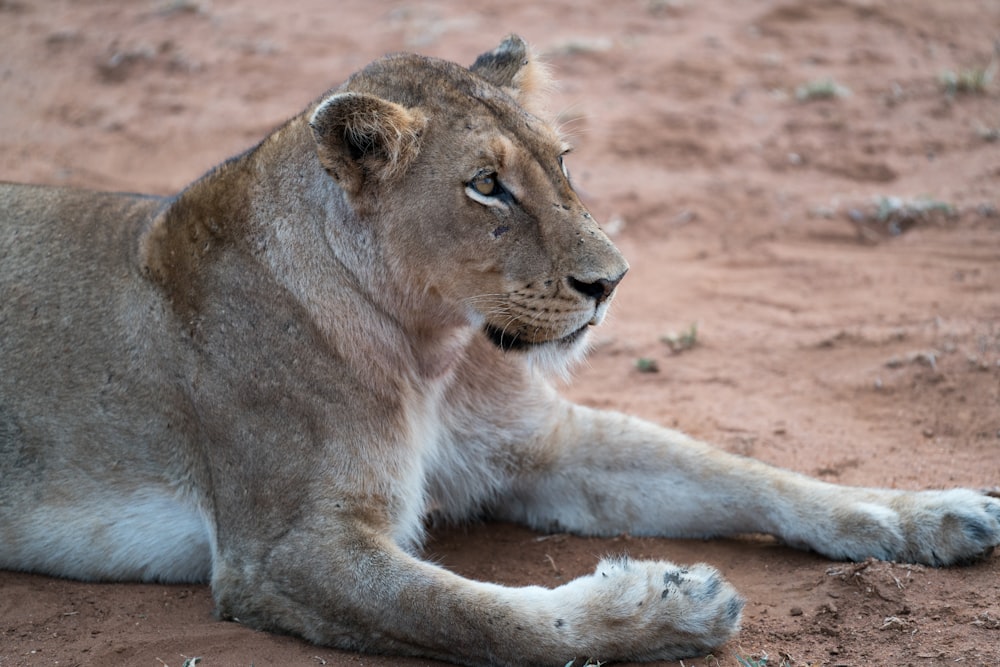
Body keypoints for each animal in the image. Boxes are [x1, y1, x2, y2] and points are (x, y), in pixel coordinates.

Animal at [0, 37, 996, 667]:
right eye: (486, 186)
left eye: (563, 161)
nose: (611, 280)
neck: (433, 348)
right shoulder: (283, 552)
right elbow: (482, 619)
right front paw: (662, 607)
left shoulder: (542, 447)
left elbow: (746, 472)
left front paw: (933, 511)